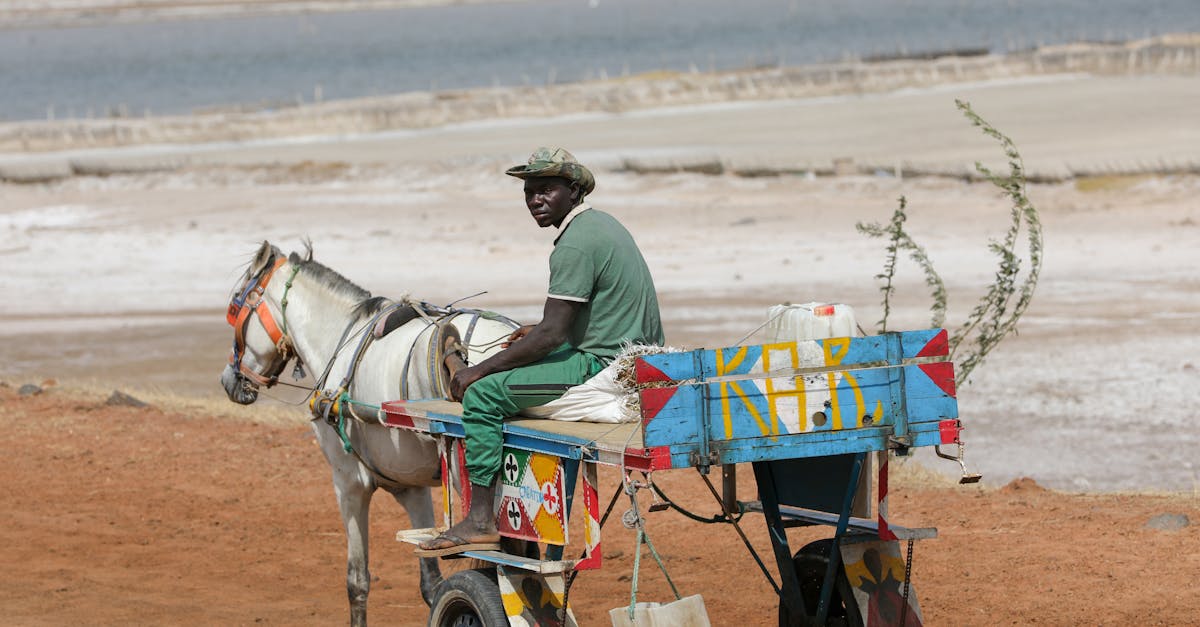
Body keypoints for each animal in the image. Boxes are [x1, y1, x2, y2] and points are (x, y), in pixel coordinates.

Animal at [220, 237, 516, 619]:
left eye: (235, 304)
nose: (228, 380)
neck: (340, 340)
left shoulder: (348, 484)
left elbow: (357, 582)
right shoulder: (412, 488)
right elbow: (430, 583)